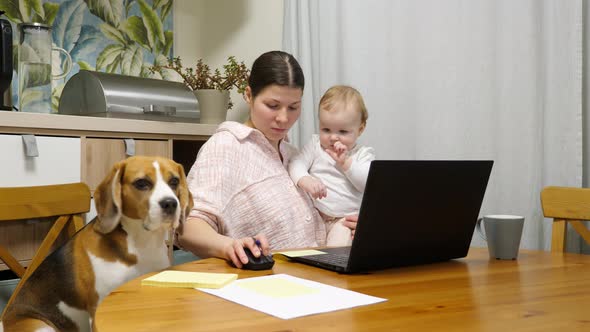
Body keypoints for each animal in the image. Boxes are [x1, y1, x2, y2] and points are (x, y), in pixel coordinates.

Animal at [0, 156, 194, 332]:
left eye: (174, 181)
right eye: (141, 183)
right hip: (42, 327)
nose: (170, 203)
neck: (141, 244)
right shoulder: (97, 306)